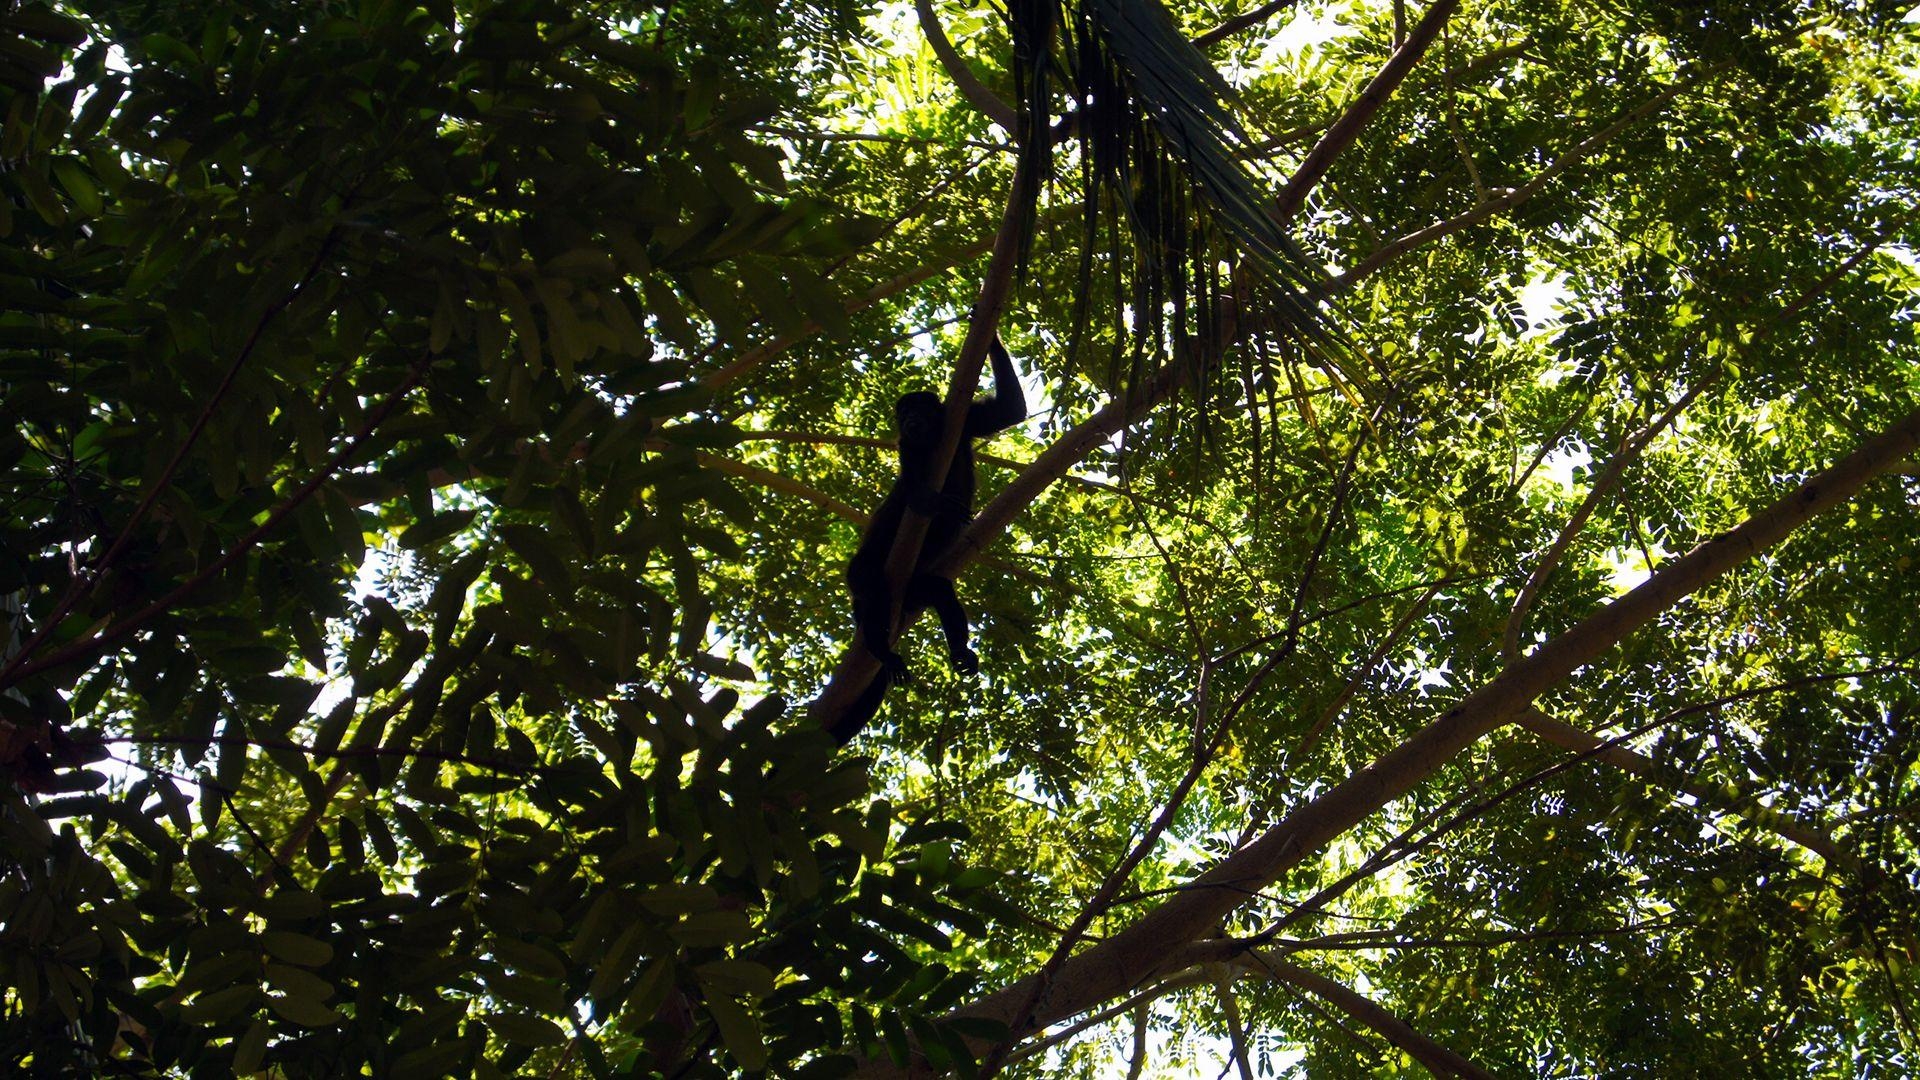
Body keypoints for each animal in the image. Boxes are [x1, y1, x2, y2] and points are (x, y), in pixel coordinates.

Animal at [833, 336, 1029, 737]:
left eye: (917, 408)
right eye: (902, 414)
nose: (908, 419)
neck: (933, 438)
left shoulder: (965, 421)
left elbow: (1010, 411)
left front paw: (989, 330)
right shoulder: (905, 448)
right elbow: (916, 497)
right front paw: (943, 507)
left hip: (916, 589)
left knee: (938, 590)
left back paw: (960, 651)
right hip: (869, 573)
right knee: (867, 584)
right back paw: (881, 650)